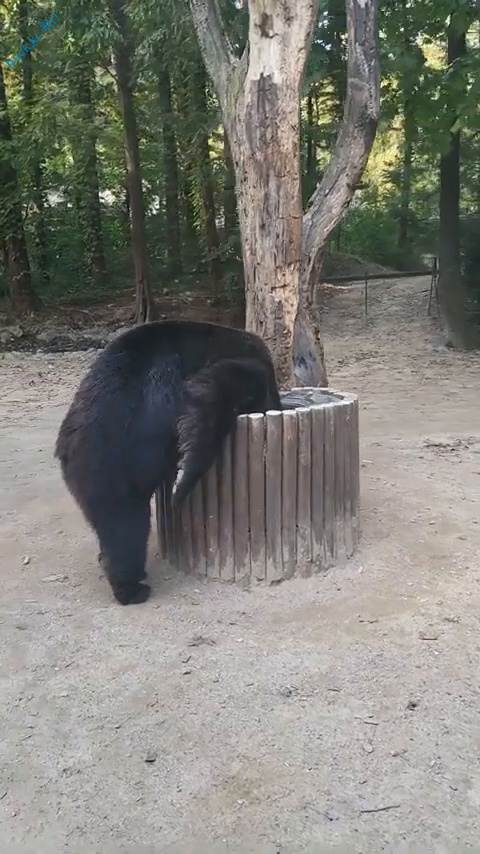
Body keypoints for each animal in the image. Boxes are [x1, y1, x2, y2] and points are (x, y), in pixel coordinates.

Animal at [55, 320, 282, 608]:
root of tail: (67, 446)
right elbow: (212, 393)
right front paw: (182, 480)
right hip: (112, 463)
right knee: (126, 527)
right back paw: (132, 588)